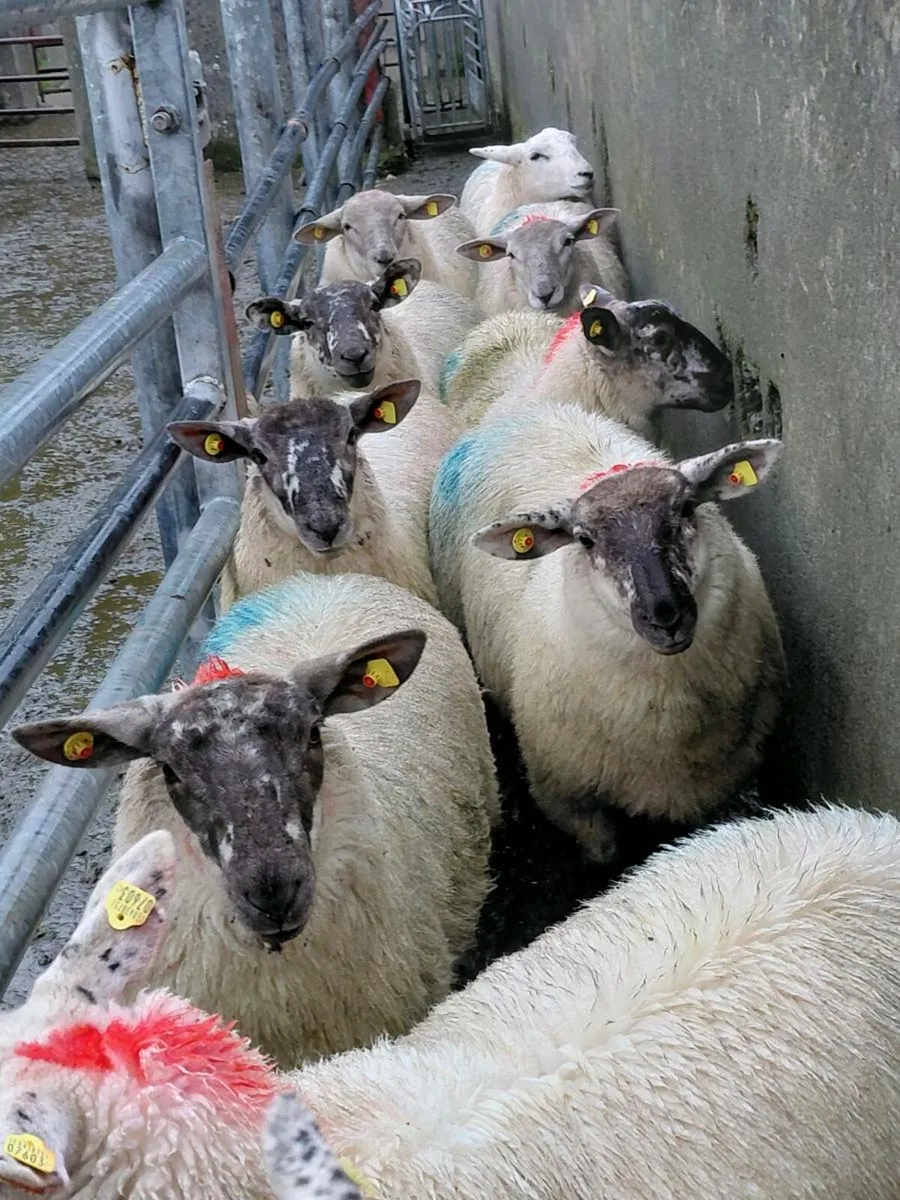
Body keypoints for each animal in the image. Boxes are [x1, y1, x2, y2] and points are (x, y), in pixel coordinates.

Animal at [429, 404, 785, 861]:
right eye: (584, 540)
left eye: (687, 508)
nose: (665, 614)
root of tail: (528, 410)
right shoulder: (570, 800)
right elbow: (606, 856)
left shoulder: (718, 787)